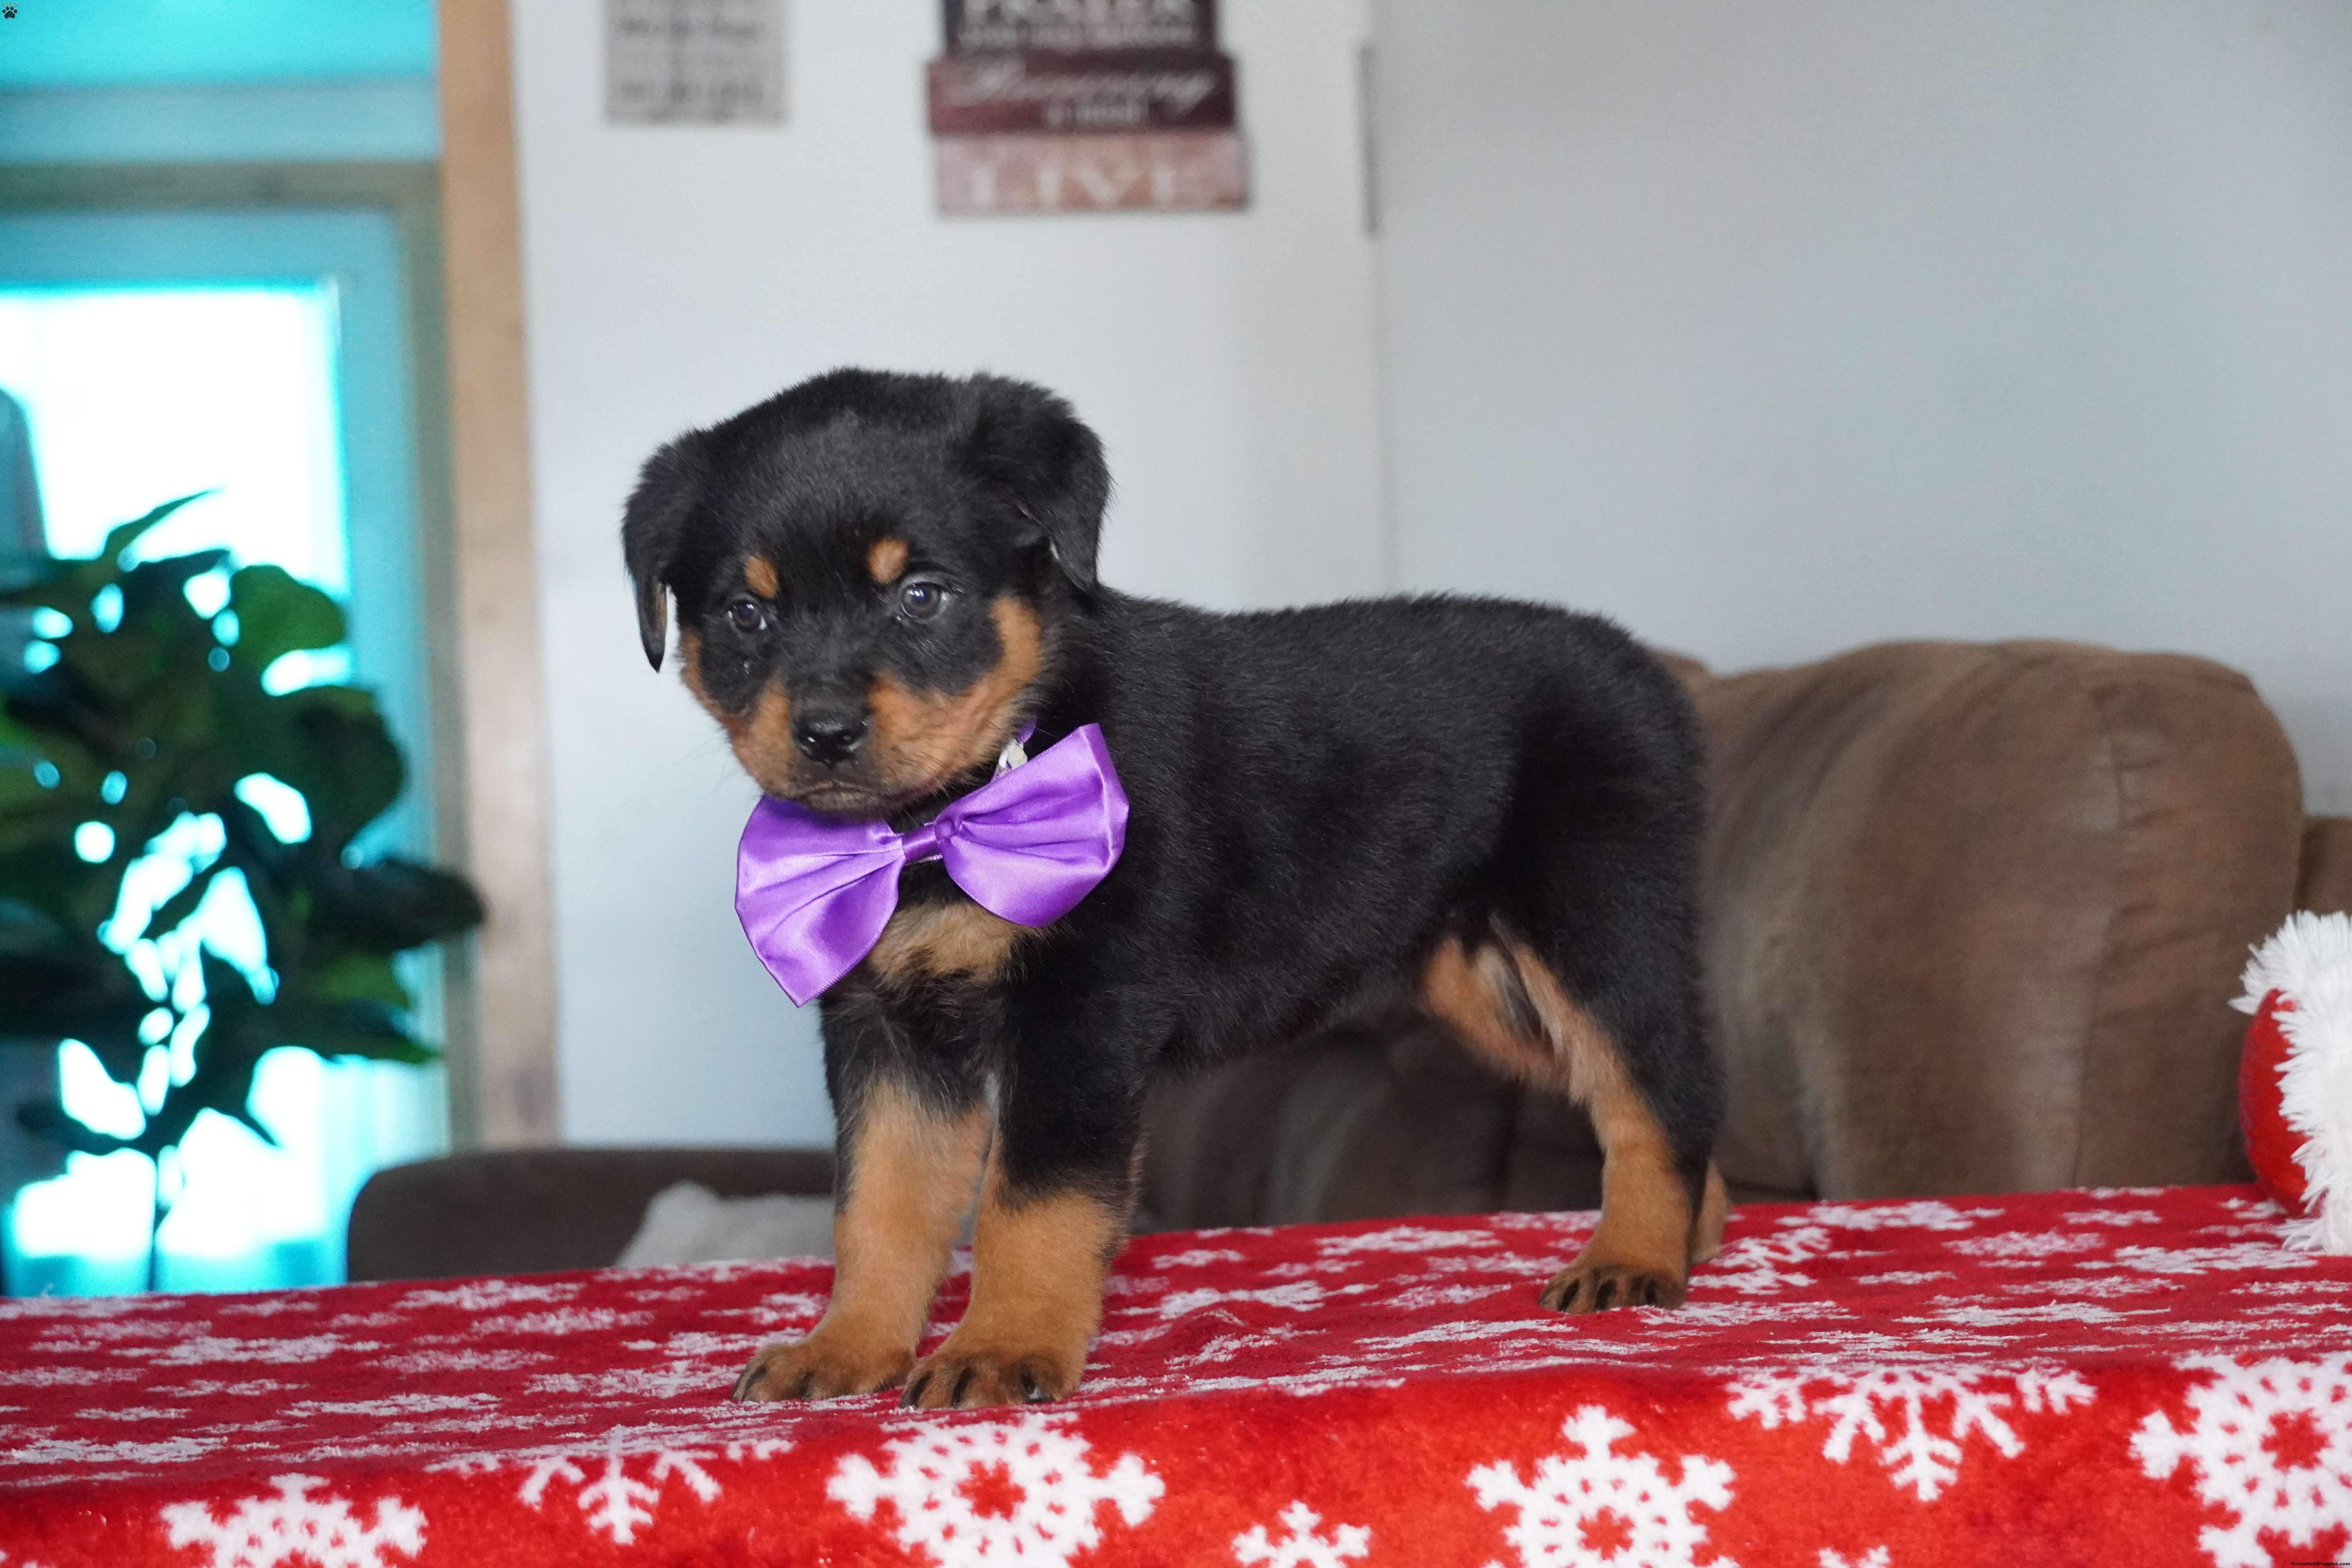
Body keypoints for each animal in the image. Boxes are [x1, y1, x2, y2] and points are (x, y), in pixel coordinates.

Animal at [621, 369, 1726, 1410]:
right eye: (746, 612)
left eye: (922, 595)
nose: (825, 731)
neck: (948, 819)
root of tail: (1646, 670)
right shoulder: (889, 1030)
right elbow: (880, 1207)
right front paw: (846, 1349)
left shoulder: (1081, 1013)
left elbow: (1032, 1199)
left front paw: (1000, 1347)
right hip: (1491, 982)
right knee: (1655, 1097)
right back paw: (1689, 1238)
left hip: (1597, 922)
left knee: (1657, 1086)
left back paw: (1632, 1257)